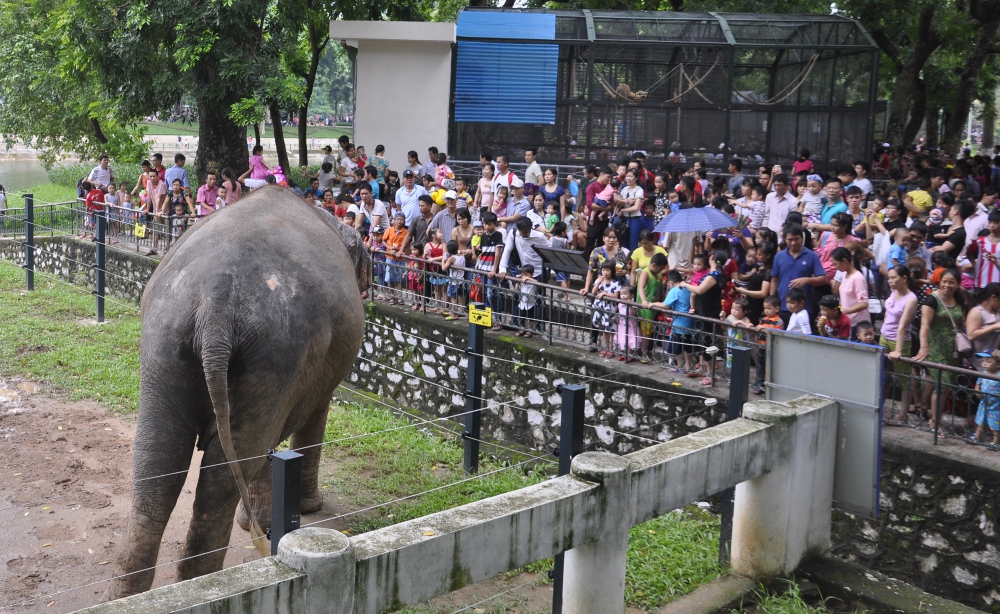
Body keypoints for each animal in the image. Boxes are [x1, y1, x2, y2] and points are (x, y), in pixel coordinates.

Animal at [103, 188, 374, 600]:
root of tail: (216, 300)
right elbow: (312, 416)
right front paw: (308, 508)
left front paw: (258, 522)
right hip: (275, 350)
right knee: (221, 479)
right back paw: (205, 586)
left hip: (166, 341)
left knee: (158, 467)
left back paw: (139, 595)